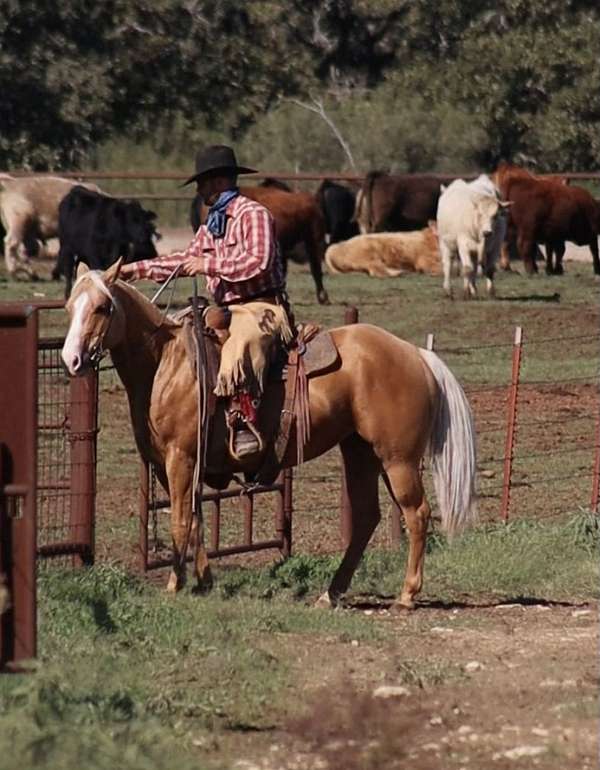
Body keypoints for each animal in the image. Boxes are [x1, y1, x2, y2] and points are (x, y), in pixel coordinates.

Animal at [58, 260, 476, 608]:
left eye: (103, 307)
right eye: (69, 308)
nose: (71, 359)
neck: (167, 362)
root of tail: (416, 353)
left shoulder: (181, 458)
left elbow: (179, 520)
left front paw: (175, 585)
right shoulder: (171, 464)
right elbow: (195, 519)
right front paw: (204, 581)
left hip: (397, 457)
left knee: (417, 513)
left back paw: (406, 595)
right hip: (360, 451)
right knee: (366, 517)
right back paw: (331, 593)